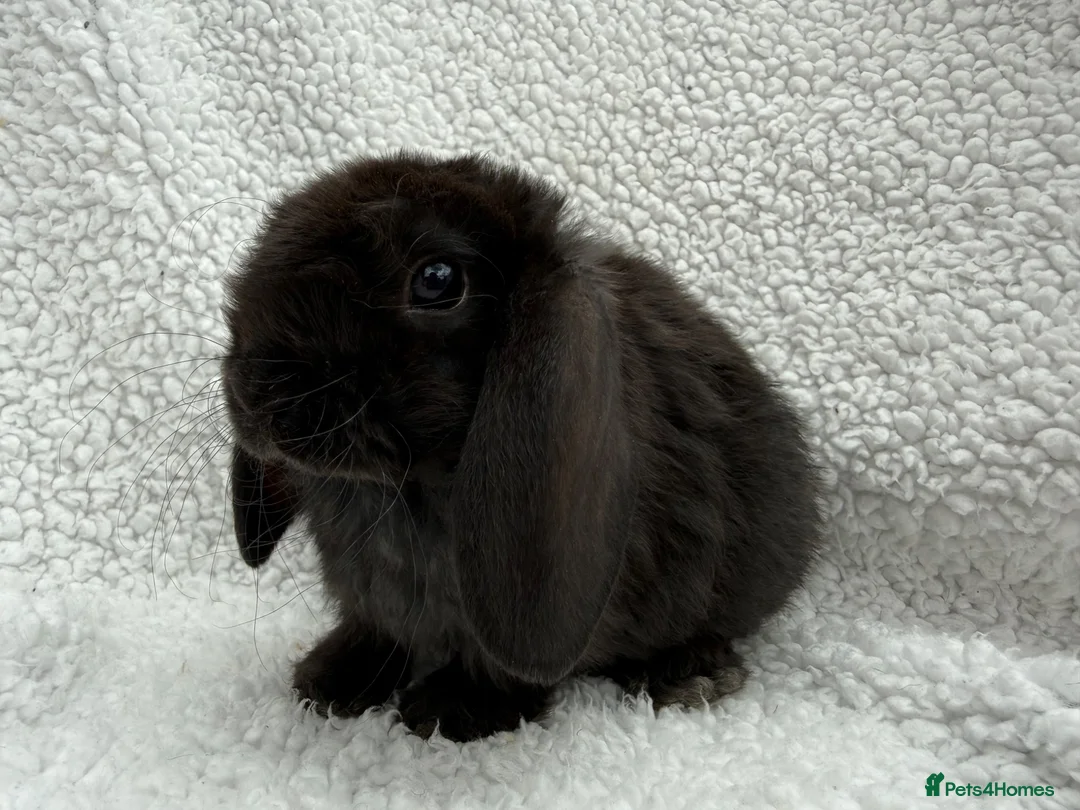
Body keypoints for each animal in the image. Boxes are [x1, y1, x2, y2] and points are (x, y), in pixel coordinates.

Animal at [220, 149, 826, 743]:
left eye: (437, 280)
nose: (260, 392)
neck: (400, 488)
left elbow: (500, 665)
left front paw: (452, 713)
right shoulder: (370, 598)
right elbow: (374, 631)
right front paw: (330, 683)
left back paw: (688, 678)